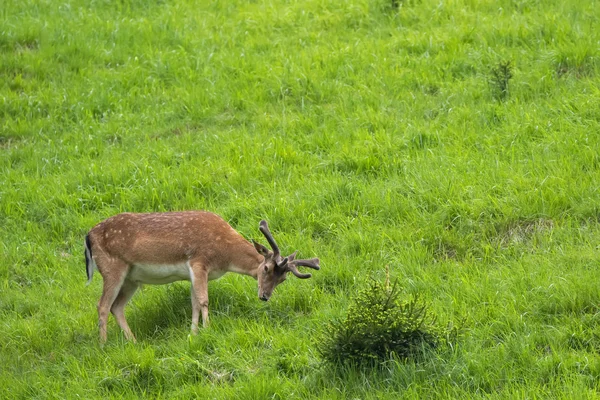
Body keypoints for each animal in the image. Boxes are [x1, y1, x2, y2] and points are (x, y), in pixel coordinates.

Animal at [85, 212, 322, 344]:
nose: (264, 296)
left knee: (117, 306)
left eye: (282, 280)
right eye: (266, 268)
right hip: (112, 268)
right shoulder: (199, 261)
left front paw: (193, 334)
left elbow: (194, 303)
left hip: (131, 279)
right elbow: (204, 300)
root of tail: (88, 237)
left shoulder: (192, 273)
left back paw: (133, 342)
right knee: (102, 305)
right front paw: (208, 330)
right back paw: (103, 345)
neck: (225, 254)